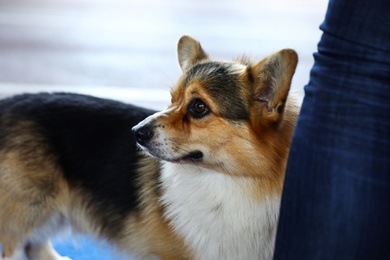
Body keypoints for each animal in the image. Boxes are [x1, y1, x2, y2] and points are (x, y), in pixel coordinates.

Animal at [0, 35, 298, 260]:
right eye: (172, 99)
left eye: (199, 106)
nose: (136, 132)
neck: (229, 181)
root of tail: (7, 104)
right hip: (28, 211)